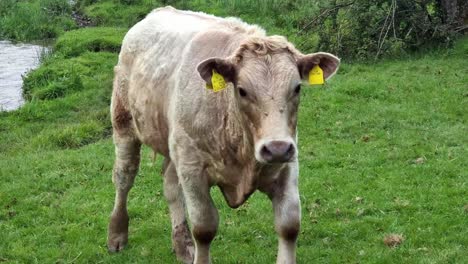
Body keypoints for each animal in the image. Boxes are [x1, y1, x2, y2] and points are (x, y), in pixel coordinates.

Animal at [107, 6, 338, 264]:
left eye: (297, 87)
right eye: (242, 90)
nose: (276, 148)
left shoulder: (287, 165)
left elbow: (289, 225)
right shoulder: (193, 169)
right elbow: (204, 228)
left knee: (170, 184)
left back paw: (182, 244)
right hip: (124, 124)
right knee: (124, 177)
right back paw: (117, 234)